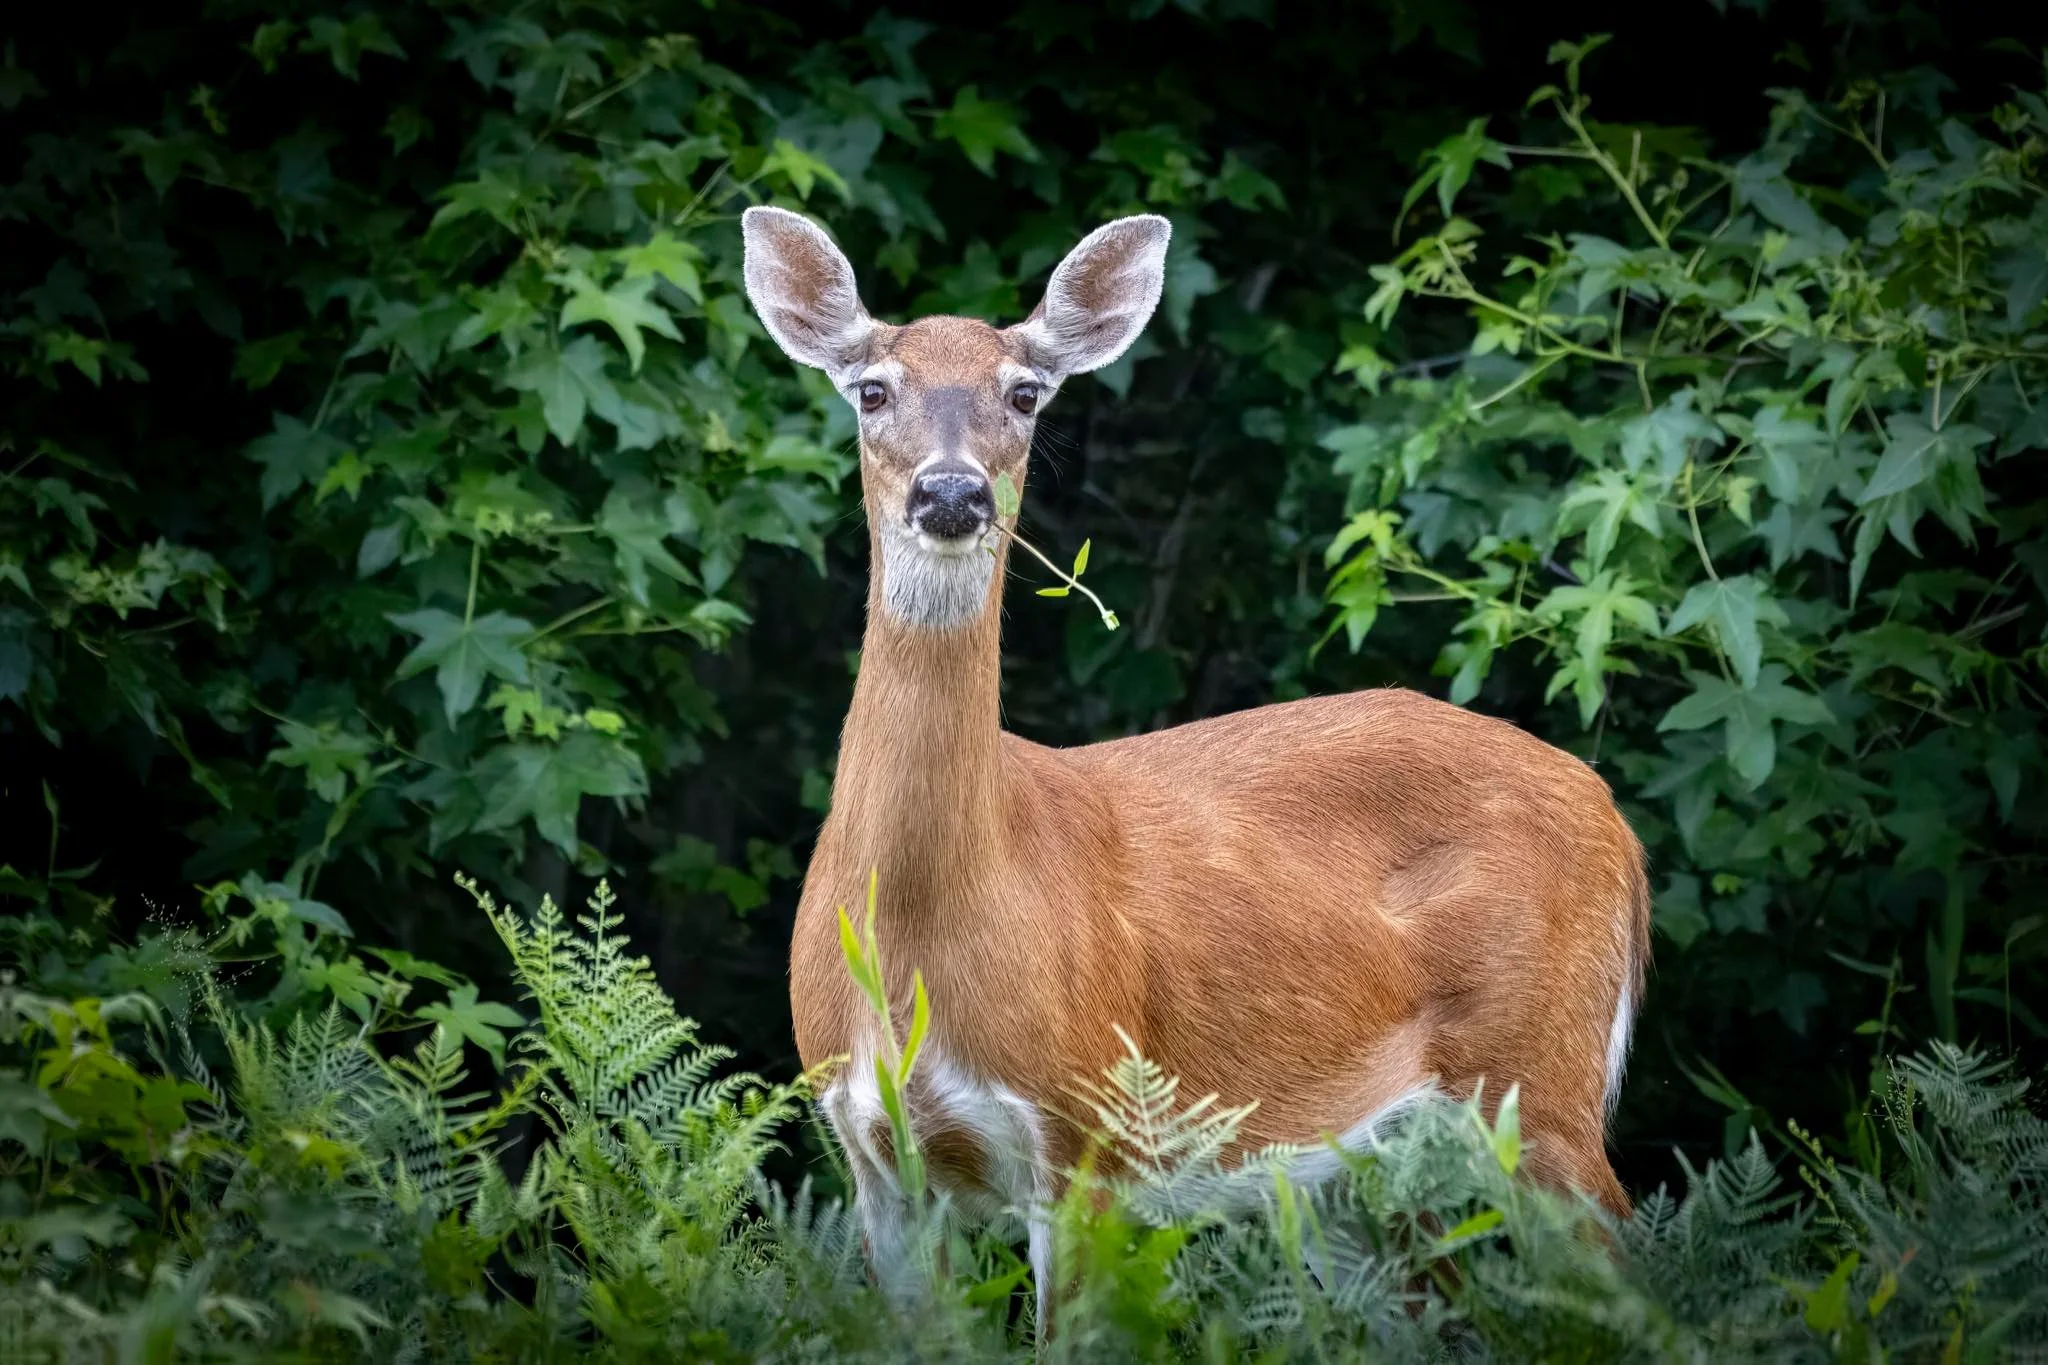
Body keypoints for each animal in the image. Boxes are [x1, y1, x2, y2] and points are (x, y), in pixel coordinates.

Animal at [740, 205, 1651, 1321]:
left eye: (1024, 392)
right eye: (871, 389)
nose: (951, 492)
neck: (922, 932)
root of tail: (1612, 817)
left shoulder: (1087, 1129)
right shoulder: (872, 1153)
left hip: (1539, 1074)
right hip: (1352, 1168)